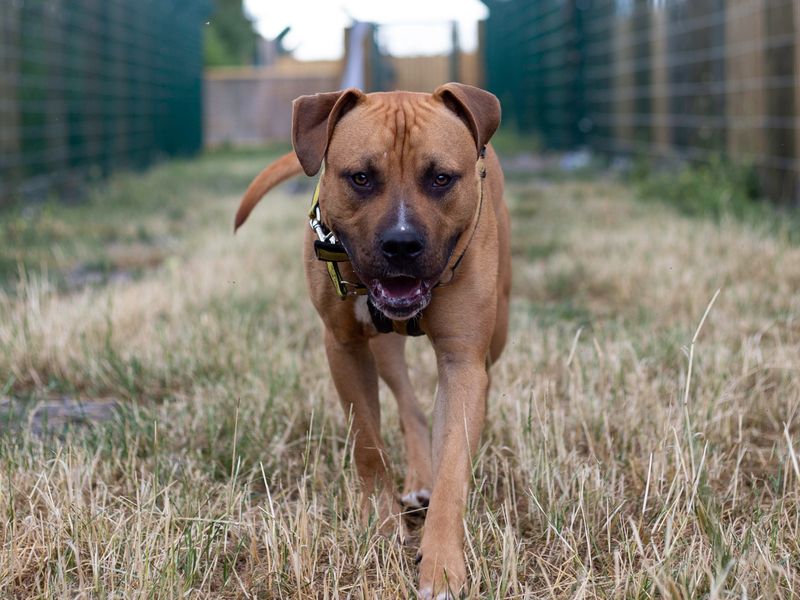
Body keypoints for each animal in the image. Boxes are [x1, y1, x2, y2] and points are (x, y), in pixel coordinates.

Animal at [236, 82, 512, 596]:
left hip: (496, 332)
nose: (401, 244)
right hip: (384, 349)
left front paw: (442, 566)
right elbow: (367, 441)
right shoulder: (344, 347)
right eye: (361, 177)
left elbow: (453, 467)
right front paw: (380, 525)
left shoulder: (463, 360)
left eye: (441, 178)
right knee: (409, 404)